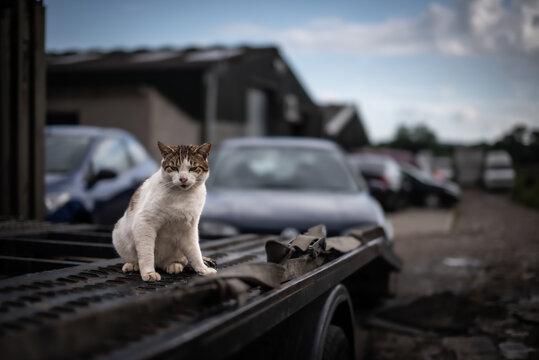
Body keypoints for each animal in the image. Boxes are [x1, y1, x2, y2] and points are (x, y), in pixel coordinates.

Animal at [112, 141, 217, 282]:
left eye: (193, 168)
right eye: (174, 168)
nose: (183, 179)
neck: (181, 196)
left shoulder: (189, 229)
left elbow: (195, 252)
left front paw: (203, 269)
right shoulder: (144, 222)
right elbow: (146, 253)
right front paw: (149, 272)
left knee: (178, 260)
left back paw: (173, 265)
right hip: (119, 233)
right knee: (137, 257)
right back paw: (133, 265)